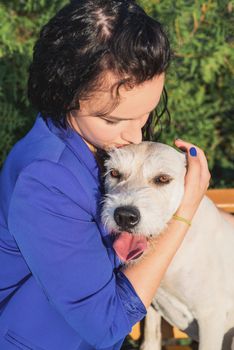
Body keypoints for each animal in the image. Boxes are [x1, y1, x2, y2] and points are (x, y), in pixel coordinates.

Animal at [101, 142, 234, 350]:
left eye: (162, 178)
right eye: (114, 173)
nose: (124, 217)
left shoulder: (211, 316)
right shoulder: (150, 306)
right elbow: (150, 339)